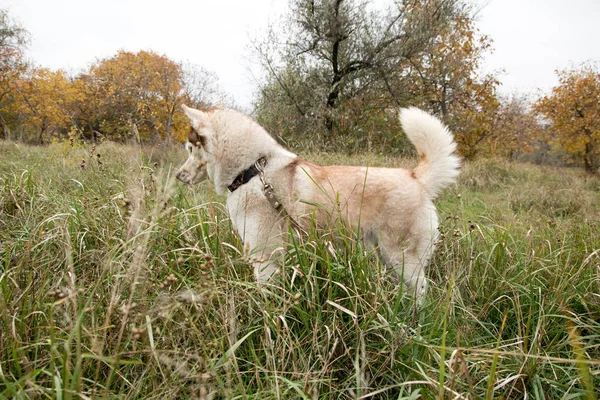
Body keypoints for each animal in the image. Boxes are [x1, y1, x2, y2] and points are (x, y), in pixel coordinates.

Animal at [177, 104, 460, 302]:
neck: (253, 171)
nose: (179, 175)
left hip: (403, 261)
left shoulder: (266, 258)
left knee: (422, 290)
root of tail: (416, 177)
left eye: (190, 149)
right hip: (387, 258)